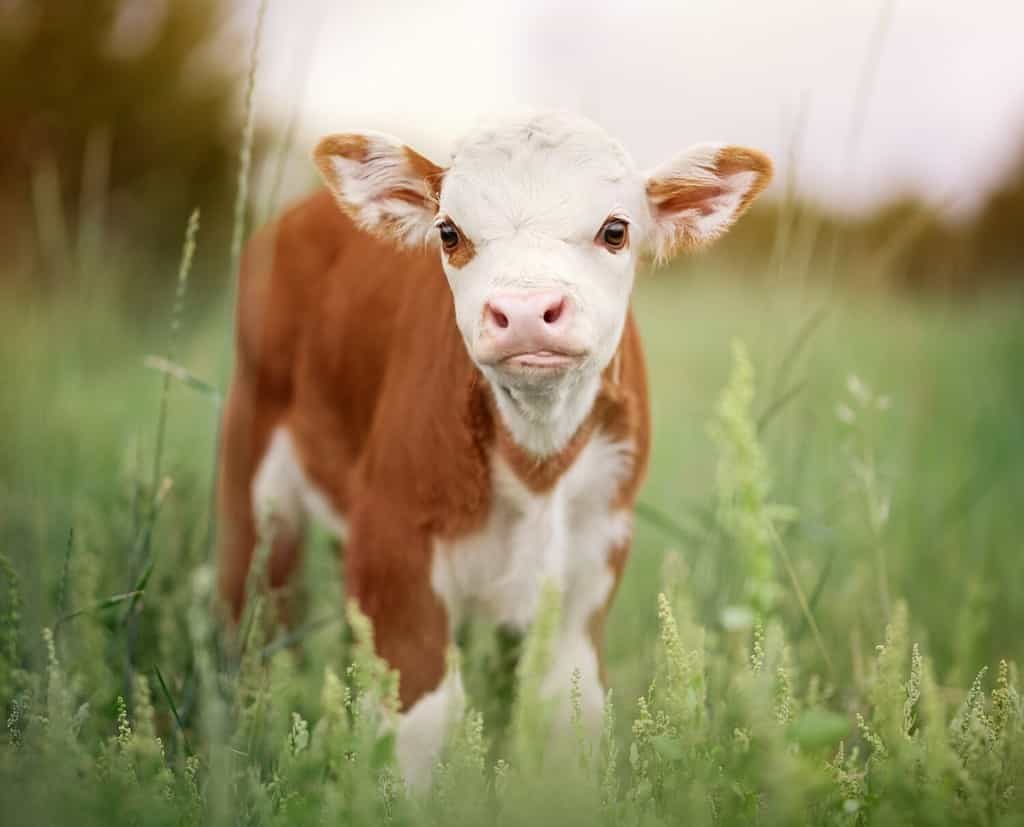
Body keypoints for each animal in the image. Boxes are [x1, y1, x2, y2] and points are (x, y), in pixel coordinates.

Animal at [217, 111, 772, 785]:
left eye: (615, 230)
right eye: (449, 232)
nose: (526, 311)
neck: (537, 455)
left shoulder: (590, 568)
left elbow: (566, 716)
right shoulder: (394, 549)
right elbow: (420, 728)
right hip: (253, 462)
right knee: (257, 618)